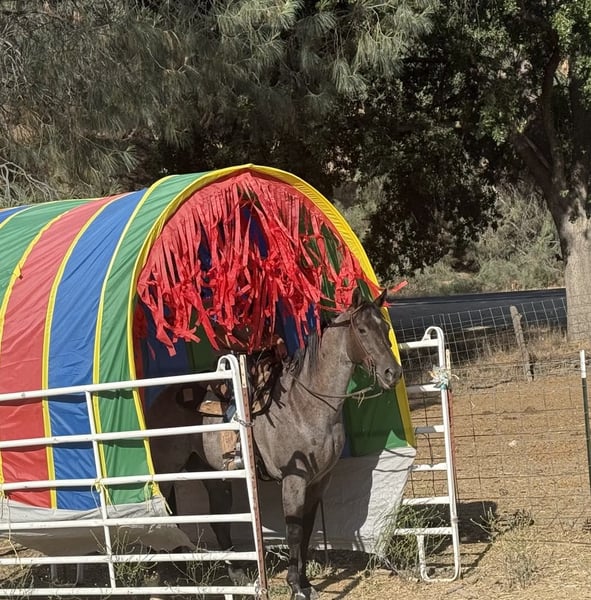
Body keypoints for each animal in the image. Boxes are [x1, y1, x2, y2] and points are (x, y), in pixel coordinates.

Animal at [146, 288, 402, 599]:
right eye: (362, 330)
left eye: (385, 327)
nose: (393, 373)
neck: (307, 404)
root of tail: (159, 399)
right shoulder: (294, 479)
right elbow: (293, 532)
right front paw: (295, 586)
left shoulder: (319, 481)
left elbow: (305, 531)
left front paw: (305, 582)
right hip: (166, 473)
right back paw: (165, 574)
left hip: (211, 474)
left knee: (218, 522)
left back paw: (234, 575)